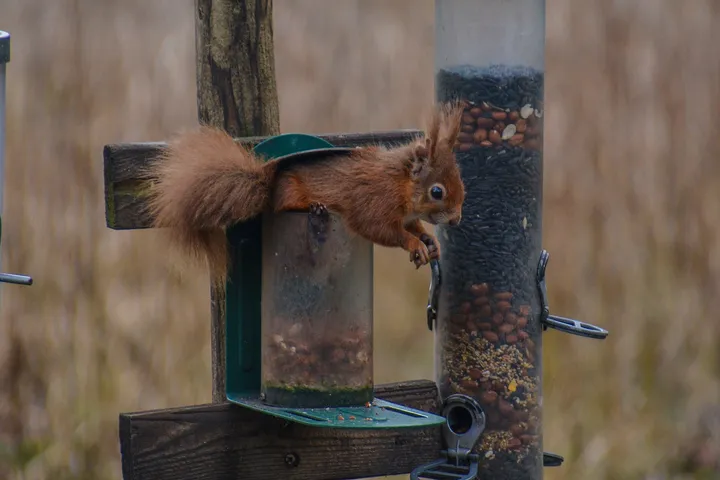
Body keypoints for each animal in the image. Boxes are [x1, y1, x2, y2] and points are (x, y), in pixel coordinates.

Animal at [145, 102, 466, 288]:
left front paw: (429, 239)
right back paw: (313, 207)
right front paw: (413, 243)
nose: (456, 220)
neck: (401, 183)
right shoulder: (375, 200)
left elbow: (415, 225)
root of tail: (269, 183)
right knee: (281, 207)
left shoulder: (407, 214)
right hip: (289, 190)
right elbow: (380, 228)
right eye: (437, 191)